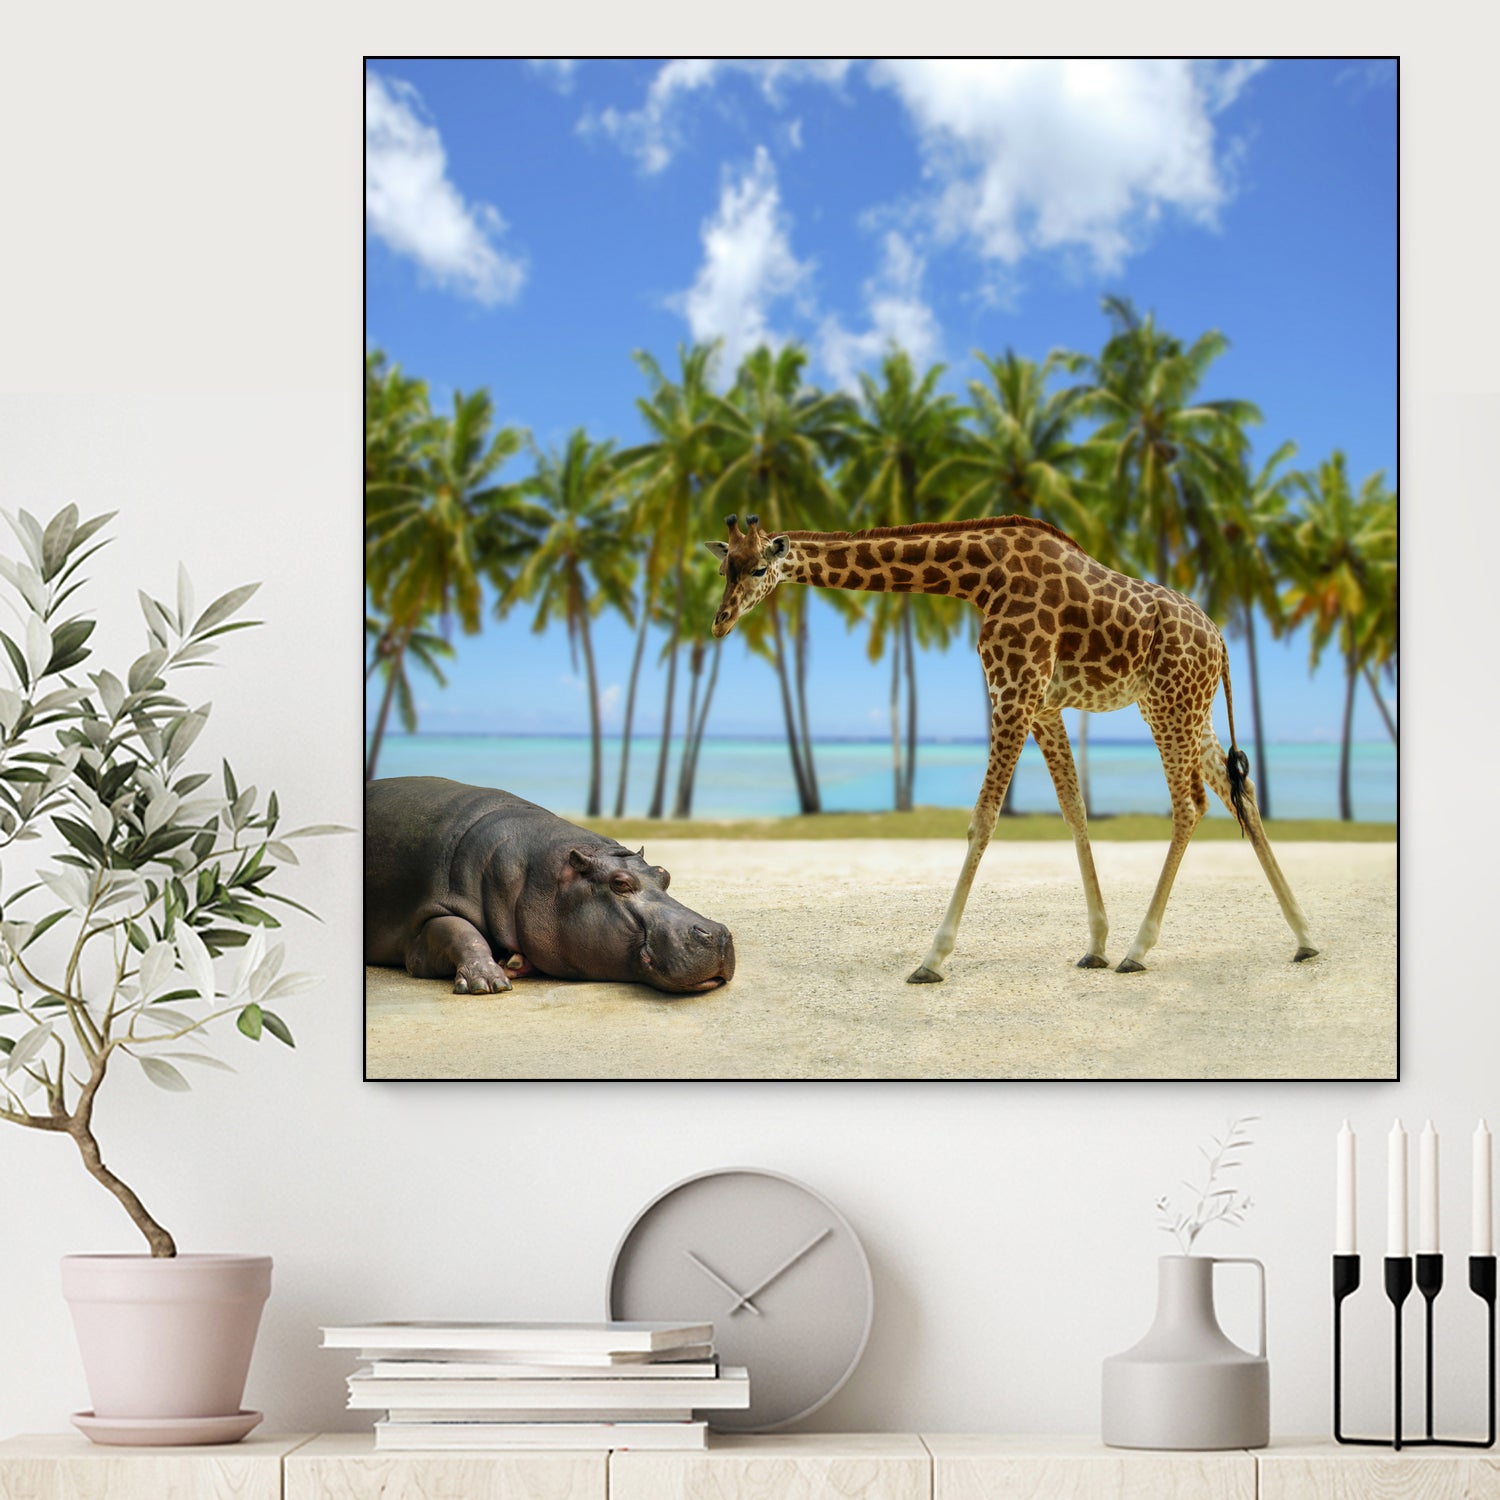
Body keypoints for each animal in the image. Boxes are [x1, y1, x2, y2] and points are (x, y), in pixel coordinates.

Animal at [364, 777, 735, 996]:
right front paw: (489, 981)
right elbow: (459, 931)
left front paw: (513, 964)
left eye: (664, 874)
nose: (718, 934)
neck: (538, 874)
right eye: (620, 883)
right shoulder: (427, 914)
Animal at [704, 513, 1317, 980]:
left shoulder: (1014, 691)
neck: (979, 577)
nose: (720, 621)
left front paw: (932, 958)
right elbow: (1074, 809)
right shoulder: (1042, 704)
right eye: (722, 567)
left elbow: (983, 819)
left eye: (758, 568)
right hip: (1185, 706)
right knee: (1241, 792)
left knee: (1191, 804)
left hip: (1171, 703)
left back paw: (1140, 951)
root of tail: (1222, 642)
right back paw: (1305, 937)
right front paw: (1095, 944)